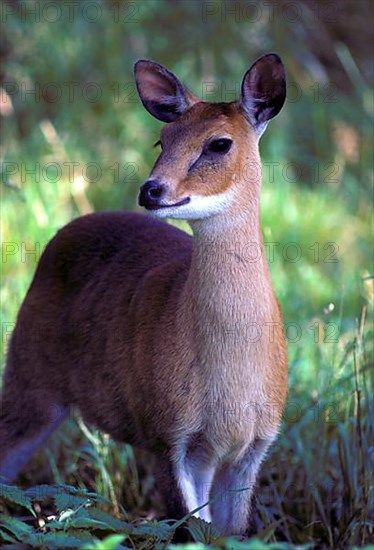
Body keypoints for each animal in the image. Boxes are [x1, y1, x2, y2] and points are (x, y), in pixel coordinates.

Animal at [0, 54, 286, 536]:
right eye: (162, 139)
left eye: (219, 144)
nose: (151, 189)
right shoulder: (169, 435)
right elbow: (190, 530)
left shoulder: (255, 444)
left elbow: (230, 534)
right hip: (27, 374)